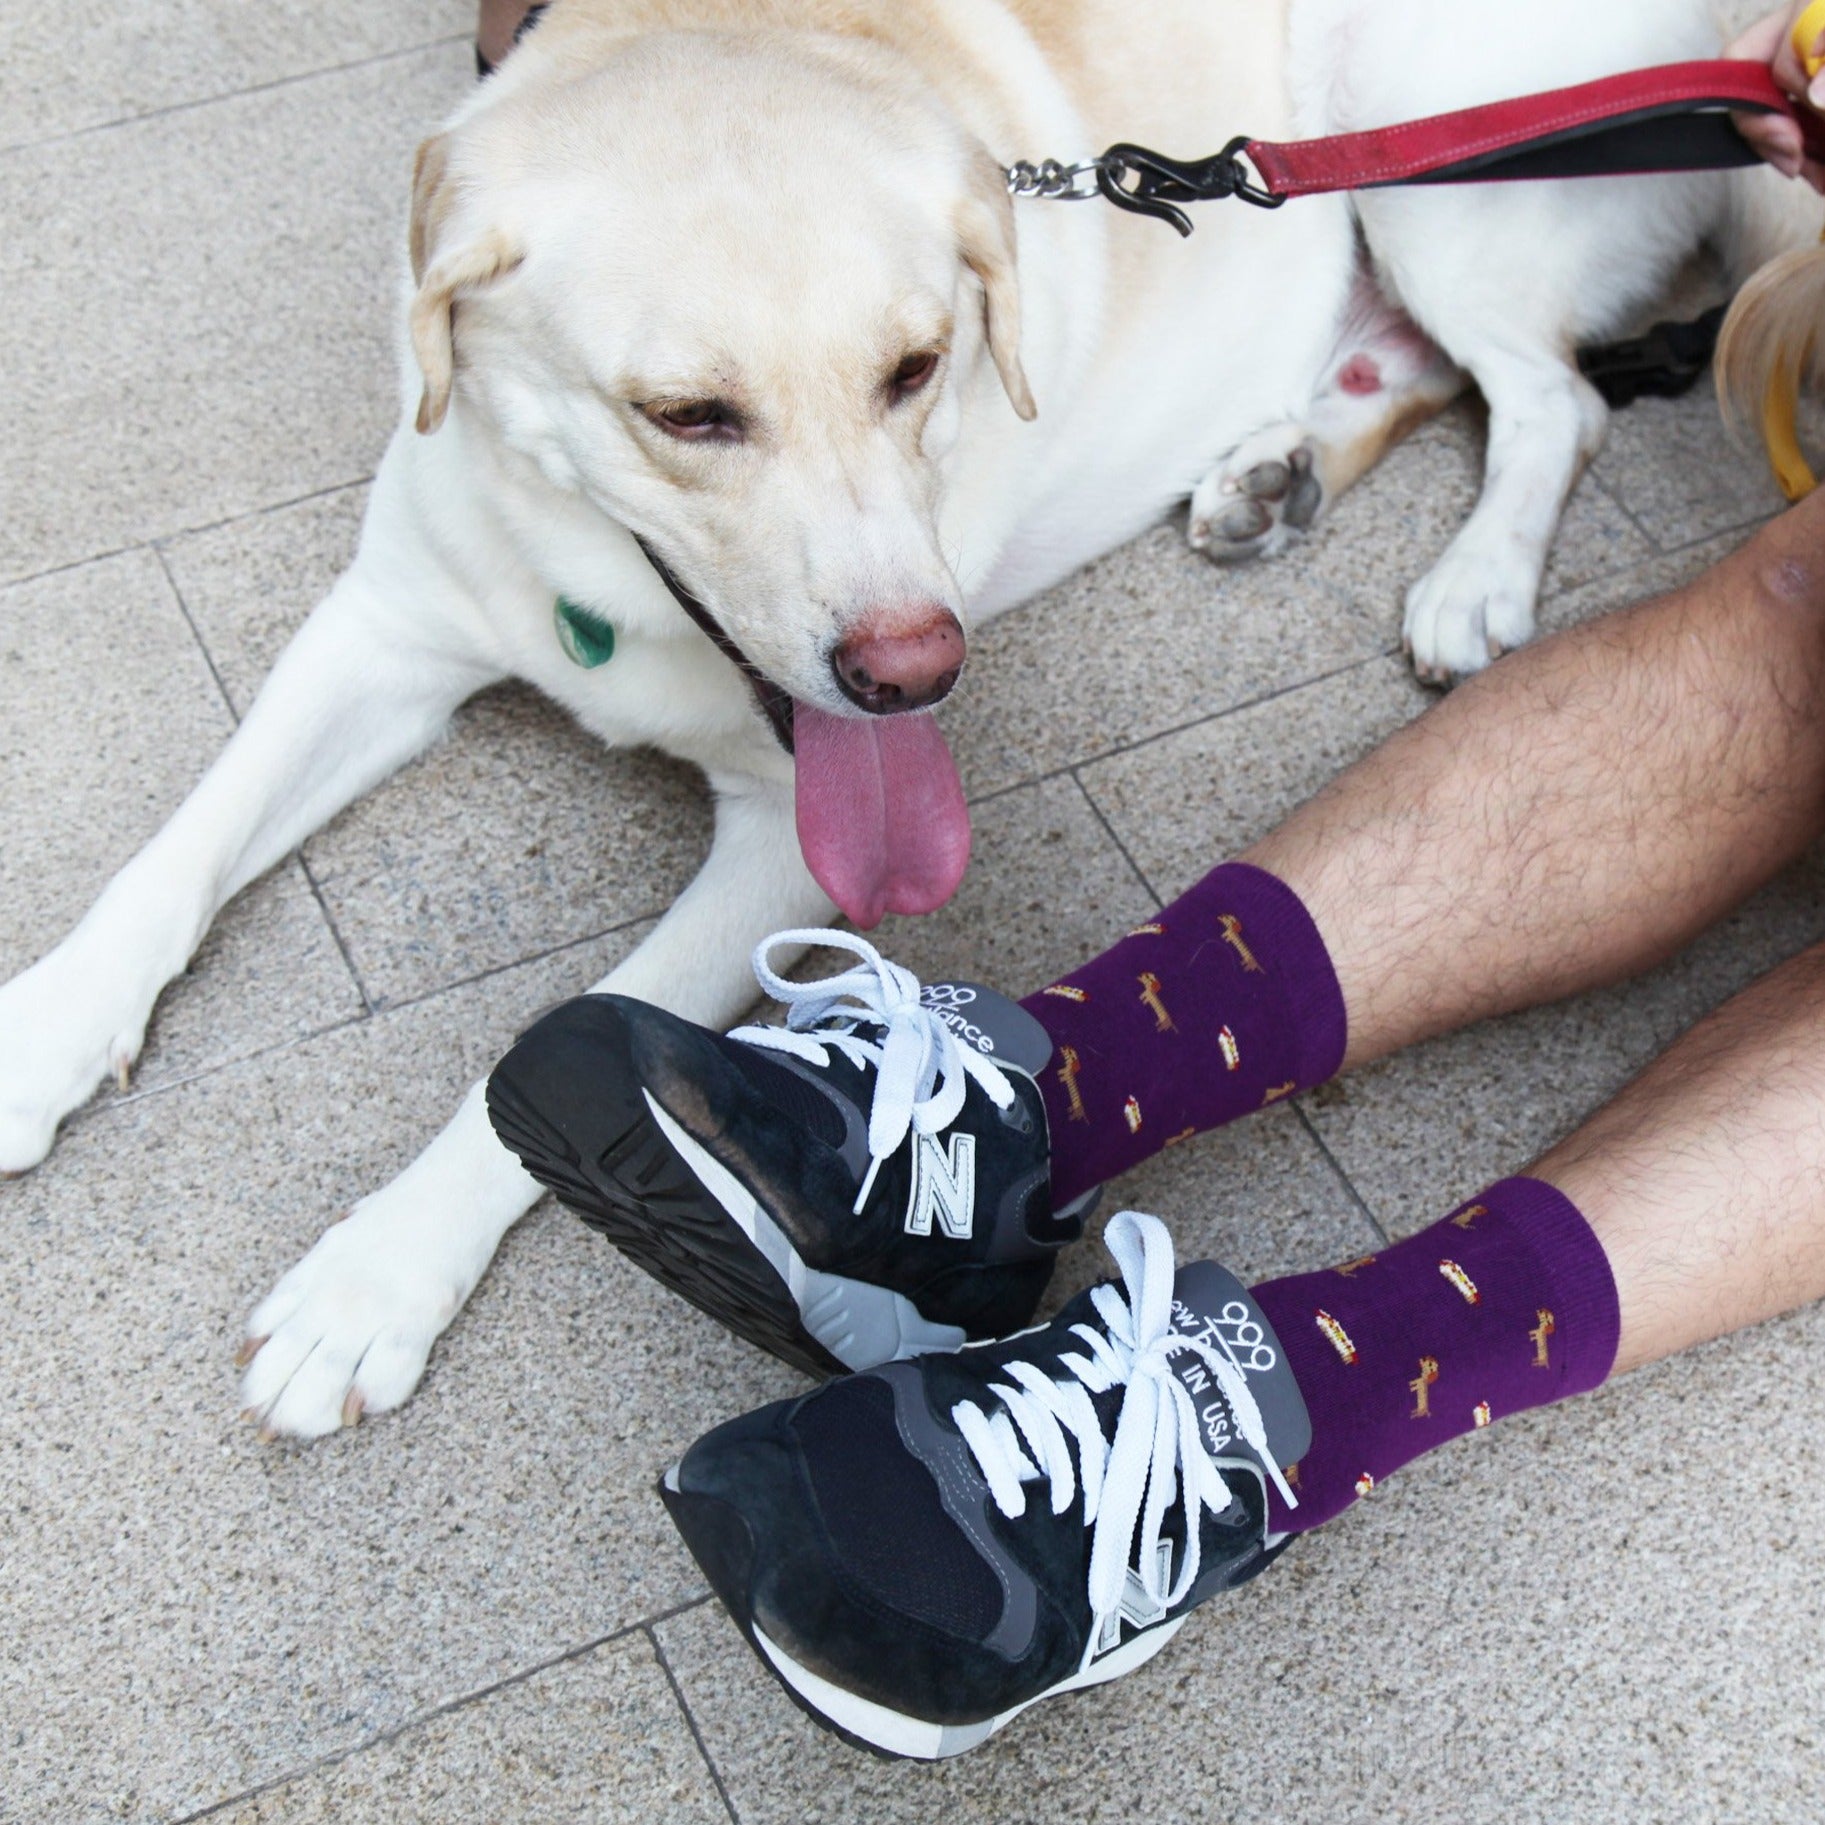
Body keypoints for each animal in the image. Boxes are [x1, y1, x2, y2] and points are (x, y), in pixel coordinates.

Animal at [0, 0, 1803, 1430]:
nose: (918, 672)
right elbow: (176, 854)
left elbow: (560, 1027)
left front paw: (374, 1277)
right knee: (1414, 367)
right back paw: (1268, 471)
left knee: (1546, 395)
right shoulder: (383, 623)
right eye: (686, 416)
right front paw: (42, 1032)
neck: (605, 590)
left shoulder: (788, 847)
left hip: (1420, 158)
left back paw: (1476, 575)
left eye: (922, 368)